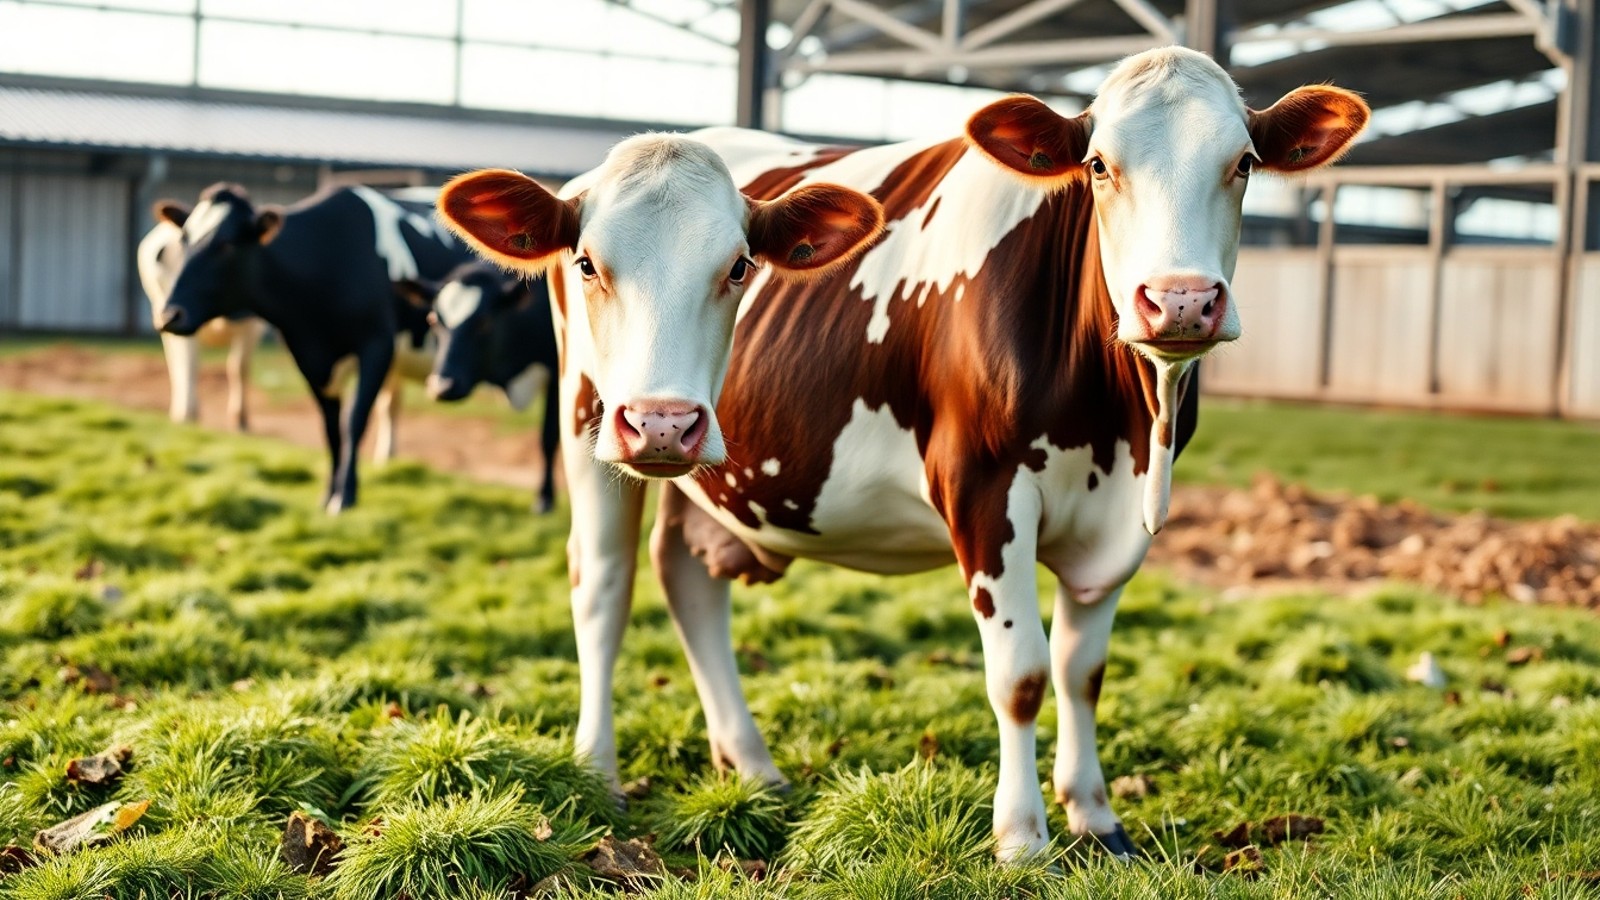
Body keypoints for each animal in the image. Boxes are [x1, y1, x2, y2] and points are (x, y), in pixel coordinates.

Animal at [136, 213, 267, 431]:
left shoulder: (253, 326)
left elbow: (239, 368)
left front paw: (240, 420)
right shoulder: (179, 318)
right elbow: (189, 365)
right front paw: (187, 416)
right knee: (176, 362)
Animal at [155, 182, 474, 512]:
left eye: (227, 244)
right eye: (184, 240)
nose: (170, 315)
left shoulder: (377, 345)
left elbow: (353, 422)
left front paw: (345, 497)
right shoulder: (307, 354)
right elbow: (331, 427)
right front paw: (328, 495)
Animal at [397, 263, 564, 513]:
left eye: (484, 321)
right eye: (434, 320)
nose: (442, 386)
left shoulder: (557, 374)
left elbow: (549, 438)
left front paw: (545, 498)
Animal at [442, 46, 1367, 863]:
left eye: (1243, 163)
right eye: (1100, 165)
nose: (1179, 301)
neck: (1123, 420)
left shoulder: (1116, 524)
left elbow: (1083, 669)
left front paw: (1096, 819)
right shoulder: (982, 489)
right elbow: (1022, 673)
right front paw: (1022, 838)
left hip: (698, 462)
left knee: (687, 577)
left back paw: (753, 765)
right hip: (591, 430)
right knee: (603, 586)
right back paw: (598, 771)